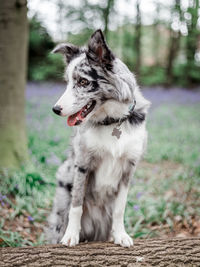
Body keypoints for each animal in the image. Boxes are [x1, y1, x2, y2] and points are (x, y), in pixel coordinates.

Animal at [46, 29, 150, 249]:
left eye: (83, 82)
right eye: (67, 82)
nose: (55, 109)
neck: (112, 121)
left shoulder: (129, 168)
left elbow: (120, 208)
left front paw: (120, 235)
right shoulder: (83, 164)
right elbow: (76, 205)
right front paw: (71, 235)